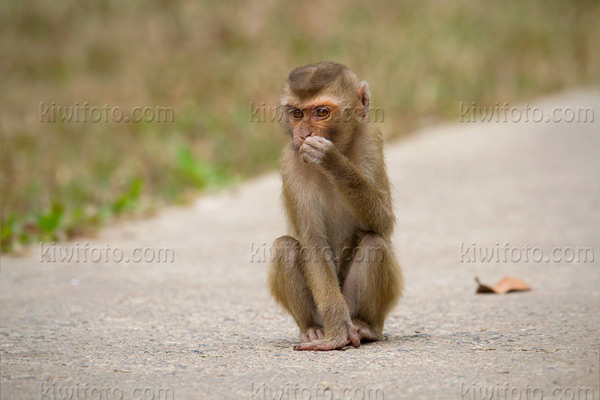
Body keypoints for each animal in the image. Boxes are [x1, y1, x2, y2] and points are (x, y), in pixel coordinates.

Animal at [268, 60, 404, 350]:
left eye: (321, 112)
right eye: (297, 113)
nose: (304, 134)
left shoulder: (370, 141)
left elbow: (384, 222)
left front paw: (331, 160)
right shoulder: (291, 162)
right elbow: (313, 243)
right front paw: (336, 333)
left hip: (354, 304)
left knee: (374, 242)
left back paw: (367, 327)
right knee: (285, 247)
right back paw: (313, 329)